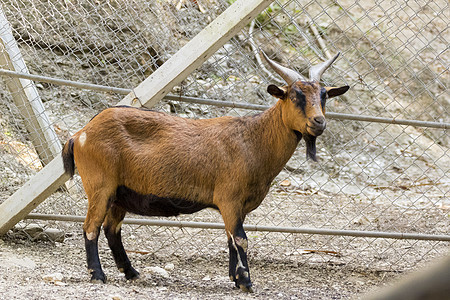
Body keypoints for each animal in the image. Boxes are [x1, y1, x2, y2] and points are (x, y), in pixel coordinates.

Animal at [61, 50, 350, 292]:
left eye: (324, 95)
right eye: (294, 96)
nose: (319, 122)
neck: (253, 139)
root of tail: (80, 134)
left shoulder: (238, 206)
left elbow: (231, 239)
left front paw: (235, 278)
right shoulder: (229, 198)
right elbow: (241, 239)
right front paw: (246, 282)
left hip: (121, 194)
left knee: (112, 229)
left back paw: (131, 272)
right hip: (100, 186)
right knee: (91, 227)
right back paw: (98, 275)